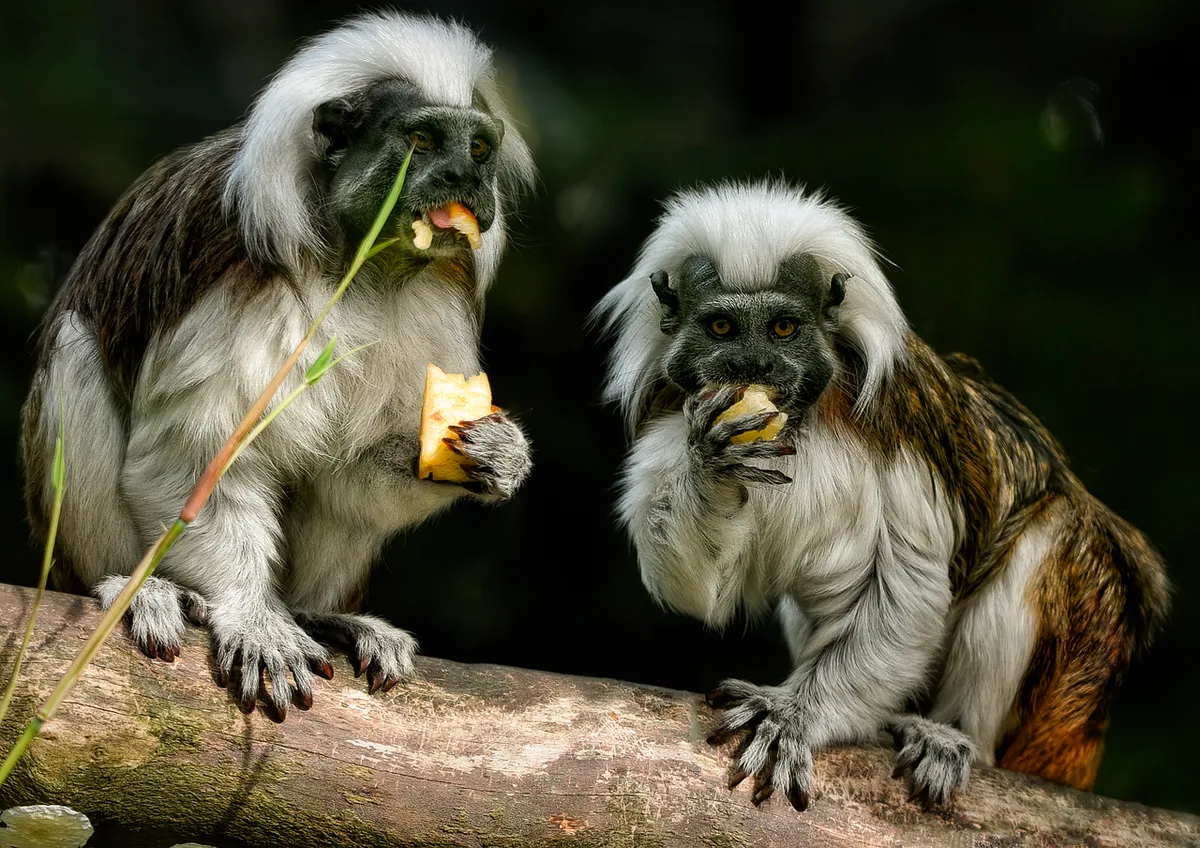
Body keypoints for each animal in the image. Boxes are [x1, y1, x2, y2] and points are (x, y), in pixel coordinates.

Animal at [20, 11, 537, 720]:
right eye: (423, 140)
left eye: (479, 150)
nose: (464, 177)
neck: (359, 262)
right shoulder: (236, 269)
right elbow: (193, 460)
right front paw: (250, 614)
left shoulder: (438, 301)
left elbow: (348, 474)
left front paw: (495, 455)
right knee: (75, 351)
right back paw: (138, 588)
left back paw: (320, 615)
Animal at [593, 179, 1170, 810]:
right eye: (722, 329)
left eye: (784, 329)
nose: (755, 364)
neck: (803, 420)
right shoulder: (673, 412)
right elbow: (703, 589)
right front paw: (714, 462)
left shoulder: (900, 419)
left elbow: (906, 590)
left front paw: (793, 715)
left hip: (1071, 685)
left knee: (1056, 533)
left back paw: (951, 736)